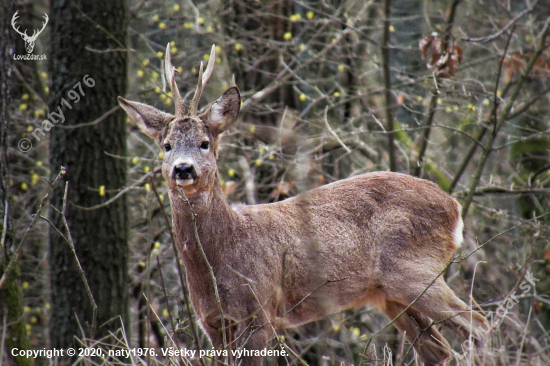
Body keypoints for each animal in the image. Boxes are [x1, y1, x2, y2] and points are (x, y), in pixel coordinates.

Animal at [118, 44, 490, 364]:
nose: (183, 169)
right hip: (389, 294)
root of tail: (454, 206)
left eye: (205, 143)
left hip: (414, 270)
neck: (222, 253)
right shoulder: (213, 322)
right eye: (166, 145)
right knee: (437, 349)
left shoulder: (260, 311)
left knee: (479, 324)